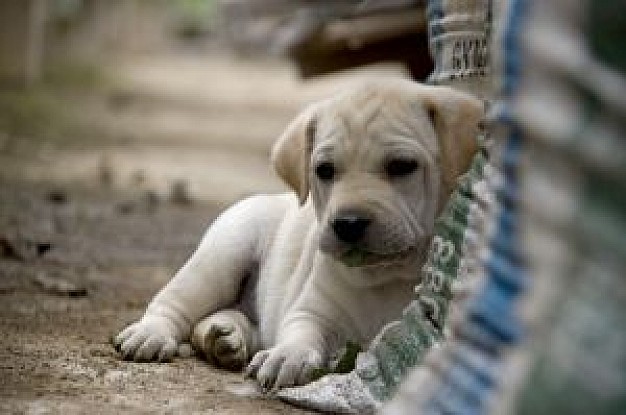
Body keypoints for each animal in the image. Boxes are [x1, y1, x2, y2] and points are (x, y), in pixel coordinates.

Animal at [114, 80, 480, 394]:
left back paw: (226, 338)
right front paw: (287, 355)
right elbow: (301, 332)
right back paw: (152, 333)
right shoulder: (312, 310)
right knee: (176, 302)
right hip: (223, 254)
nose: (347, 223)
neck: (387, 275)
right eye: (325, 171)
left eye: (402, 166)